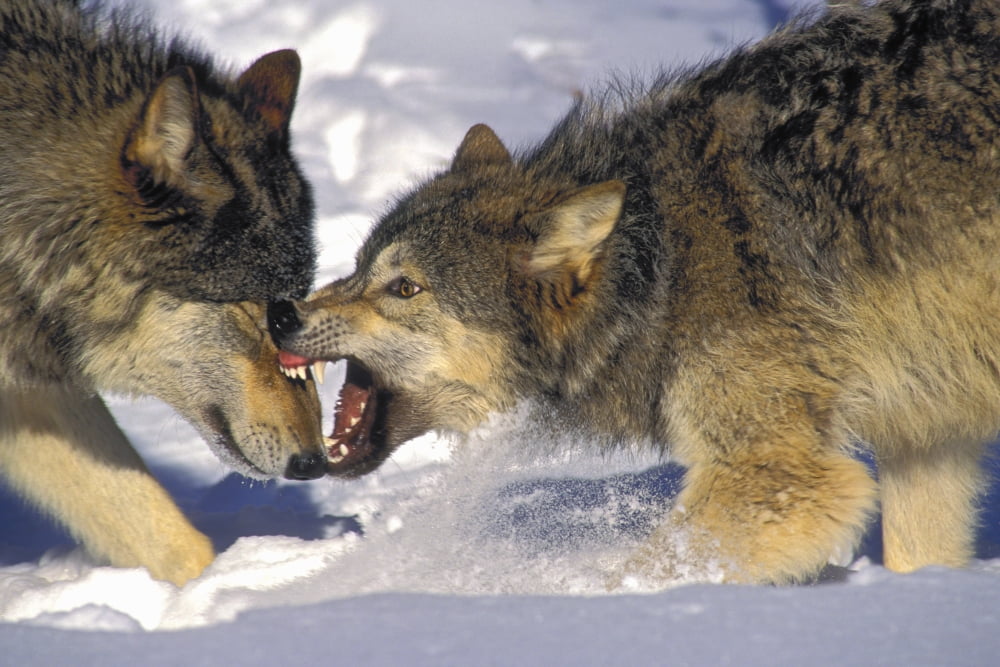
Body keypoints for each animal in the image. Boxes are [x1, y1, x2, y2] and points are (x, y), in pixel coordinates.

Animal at [270, 0, 1000, 585]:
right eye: (358, 267)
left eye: (405, 287)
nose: (279, 311)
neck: (662, 269)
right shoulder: (924, 439)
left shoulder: (781, 477)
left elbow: (638, 573)